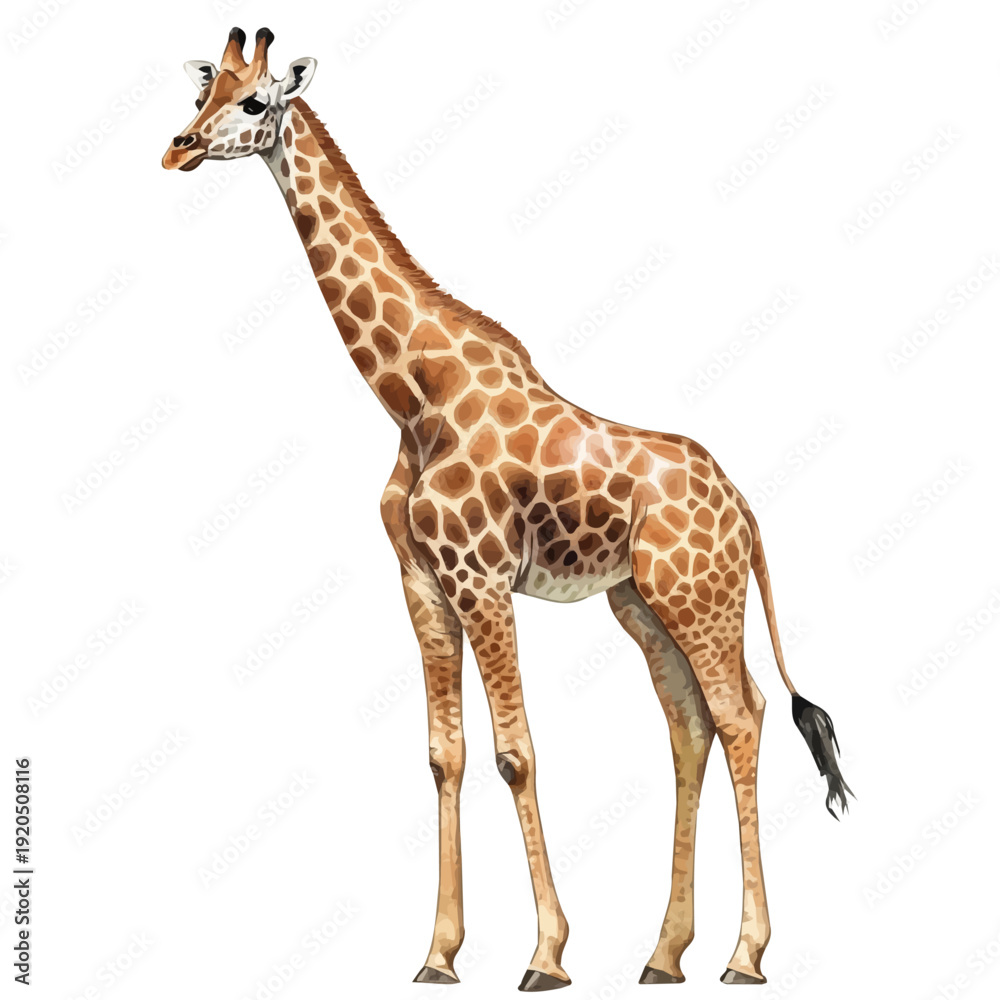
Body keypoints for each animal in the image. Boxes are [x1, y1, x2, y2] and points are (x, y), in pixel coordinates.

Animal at [163, 29, 853, 991]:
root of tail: (744, 507)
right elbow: (443, 755)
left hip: (700, 597)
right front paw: (439, 954)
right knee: (690, 727)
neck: (415, 396)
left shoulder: (483, 579)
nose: (179, 148)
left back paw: (744, 957)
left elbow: (515, 754)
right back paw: (663, 954)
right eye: (202, 92)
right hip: (641, 604)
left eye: (256, 101)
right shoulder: (422, 583)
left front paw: (546, 956)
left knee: (741, 716)